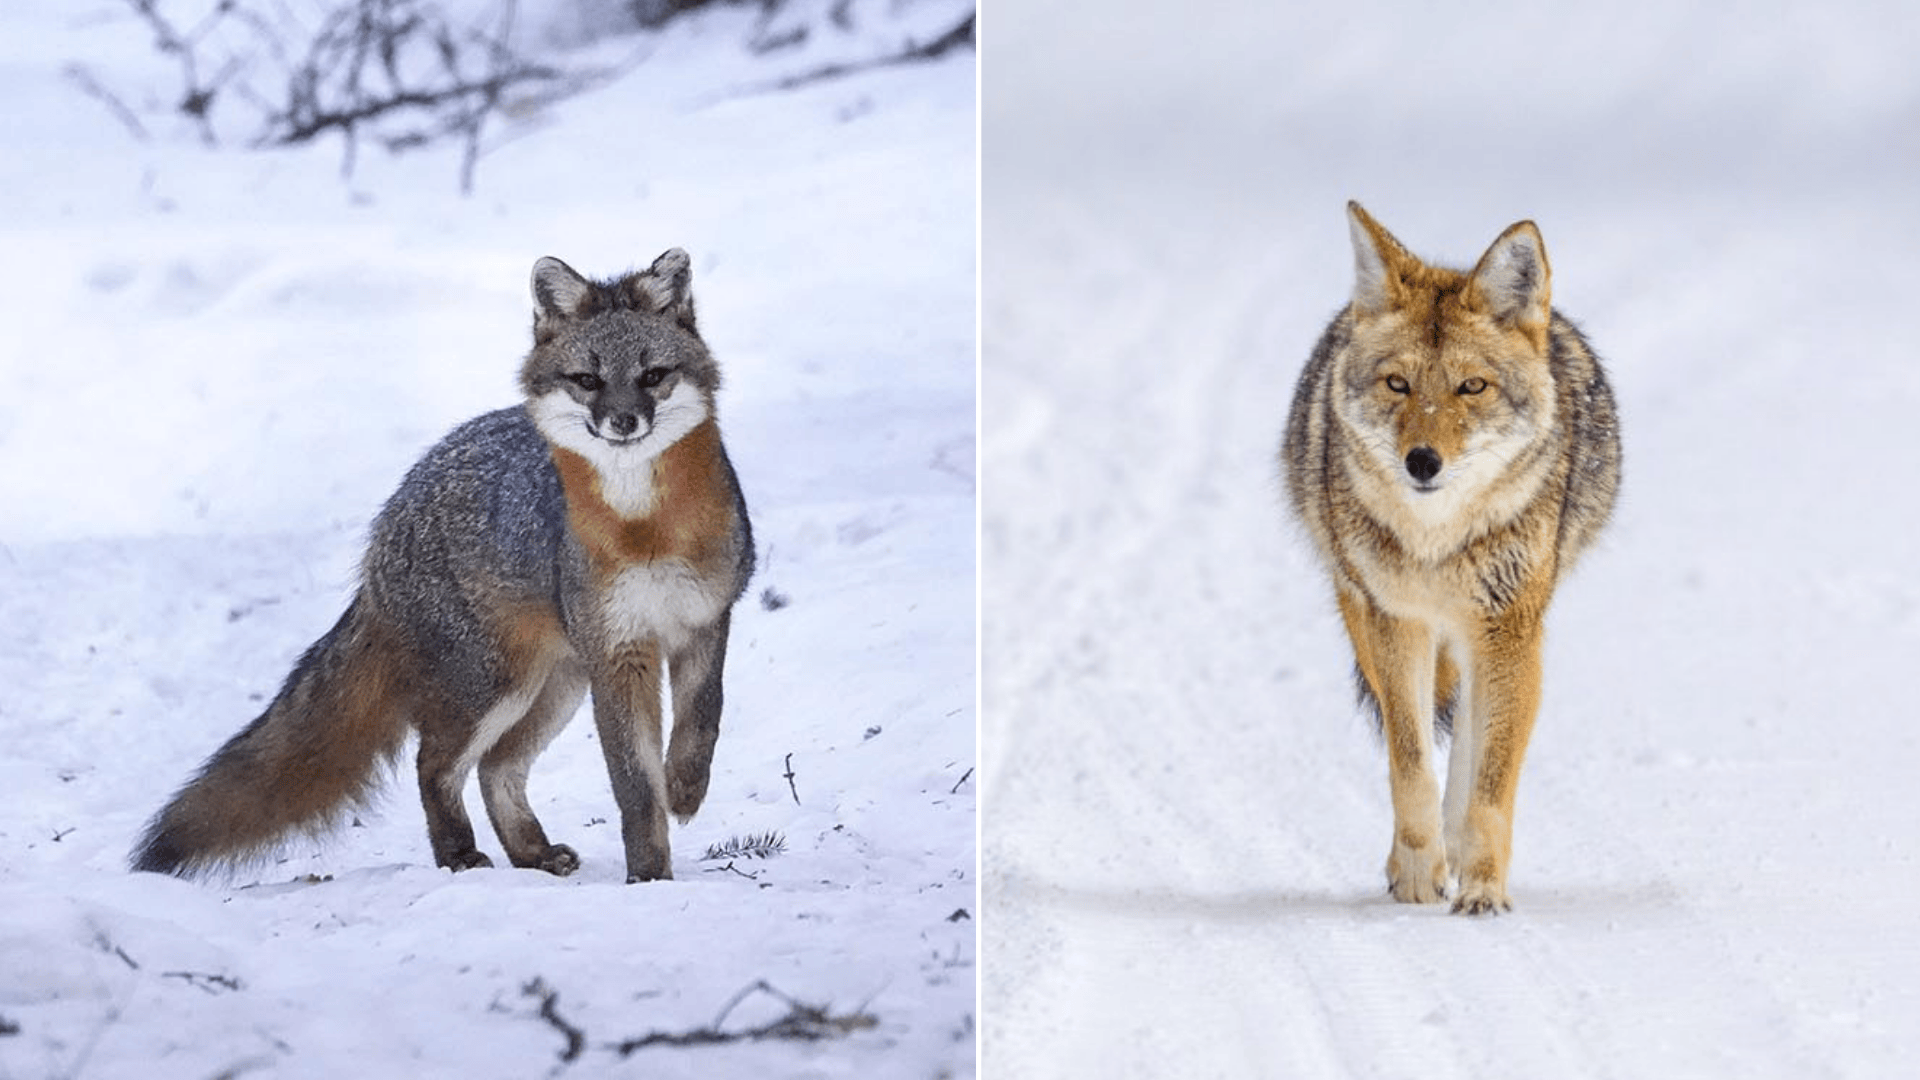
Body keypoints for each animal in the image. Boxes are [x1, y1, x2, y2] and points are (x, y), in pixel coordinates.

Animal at [130, 248, 754, 884]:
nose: (623, 422)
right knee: (435, 764)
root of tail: (394, 511)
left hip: (554, 686)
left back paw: (531, 853)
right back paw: (458, 855)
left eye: (653, 375)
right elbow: (633, 785)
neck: (644, 531)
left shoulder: (706, 621)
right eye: (588, 380)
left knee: (495, 767)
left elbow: (704, 718)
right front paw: (649, 876)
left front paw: (685, 788)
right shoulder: (621, 654)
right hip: (496, 687)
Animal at [1282, 202, 1621, 915]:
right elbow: (1410, 765)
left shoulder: (1509, 633)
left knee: (1466, 739)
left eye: (1472, 387)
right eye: (1398, 384)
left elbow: (1489, 781)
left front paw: (1483, 888)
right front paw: (1416, 876)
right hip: (1359, 606)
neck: (1439, 543)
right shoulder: (1397, 622)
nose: (1422, 462)